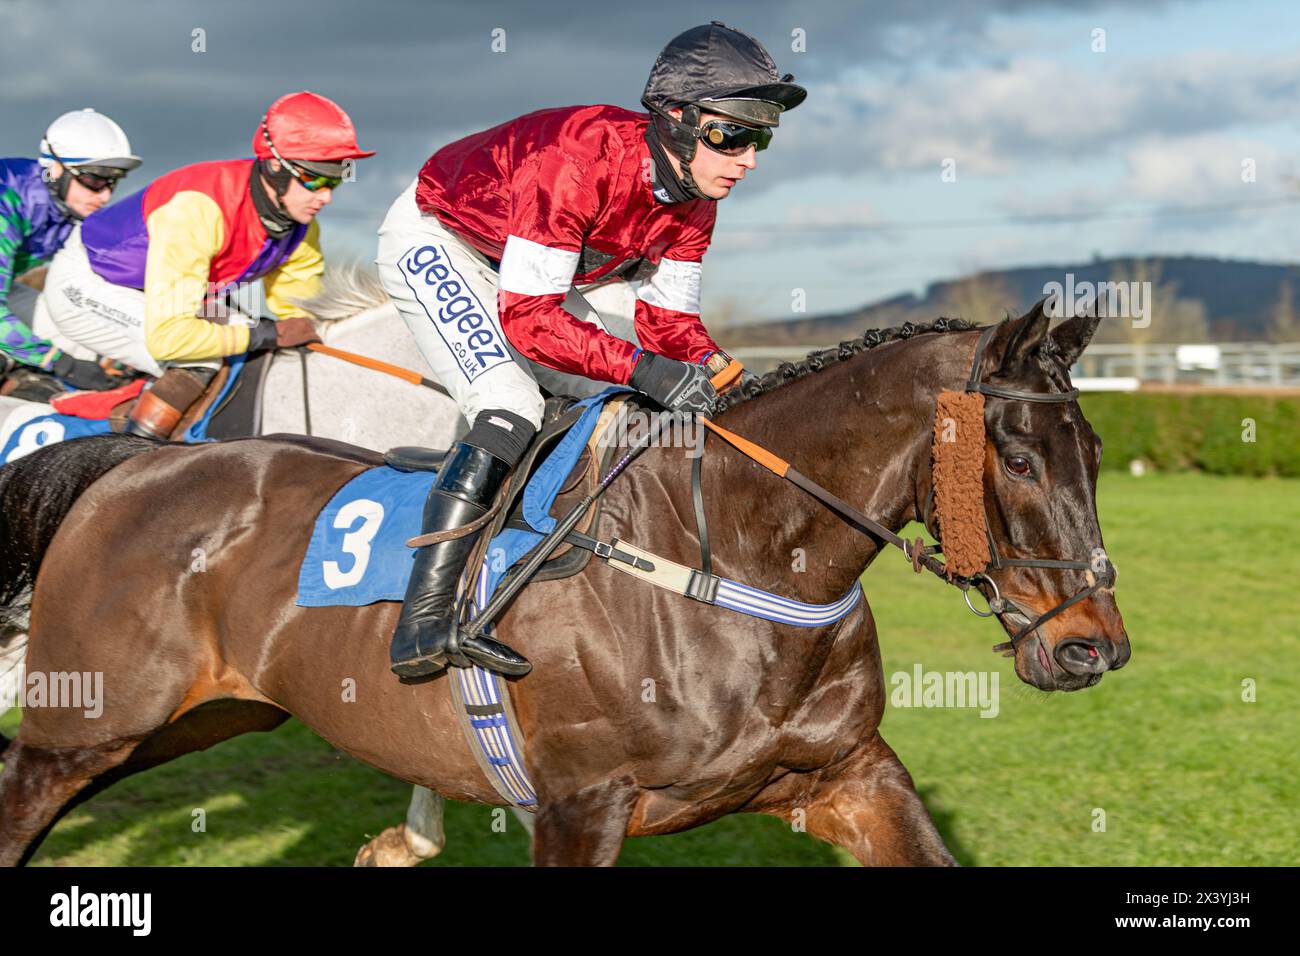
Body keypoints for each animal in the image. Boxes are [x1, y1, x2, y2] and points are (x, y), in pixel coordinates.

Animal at [0, 300, 1128, 868]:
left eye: (1097, 448)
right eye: (1019, 459)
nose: (1092, 645)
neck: (736, 556)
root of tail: (132, 463)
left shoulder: (845, 775)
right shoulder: (579, 804)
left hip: (200, 714)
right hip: (91, 718)